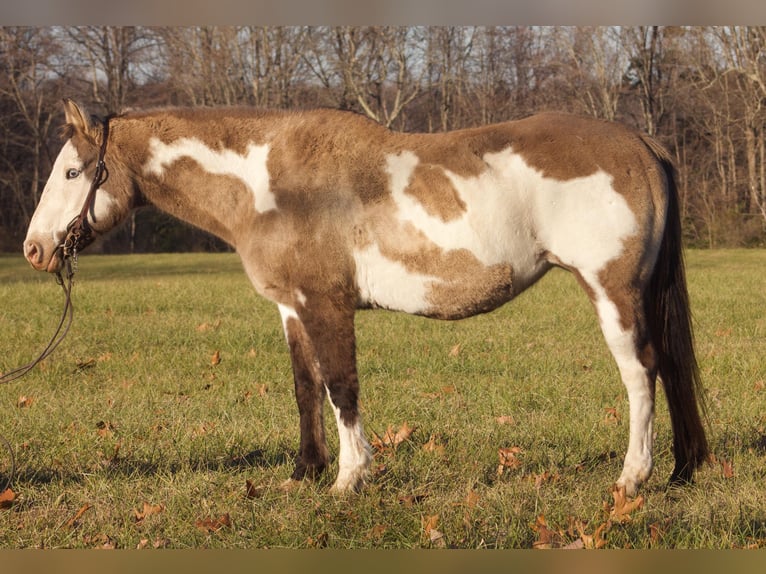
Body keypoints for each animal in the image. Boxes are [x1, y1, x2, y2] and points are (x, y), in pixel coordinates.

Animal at [24, 99, 712, 496]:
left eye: (71, 172)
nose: (33, 250)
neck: (269, 183)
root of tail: (642, 145)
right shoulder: (292, 307)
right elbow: (306, 387)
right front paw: (305, 473)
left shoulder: (324, 304)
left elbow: (341, 386)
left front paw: (350, 479)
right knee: (672, 371)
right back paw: (683, 469)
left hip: (613, 291)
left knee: (641, 375)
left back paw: (632, 478)